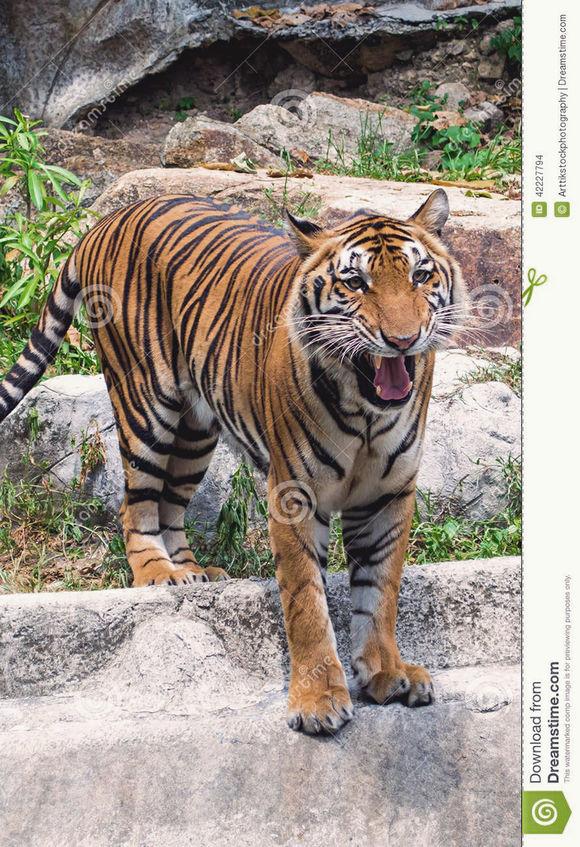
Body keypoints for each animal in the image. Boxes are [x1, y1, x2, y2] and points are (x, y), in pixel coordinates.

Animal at [0, 188, 468, 734]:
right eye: (355, 282)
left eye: (420, 275)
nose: (403, 340)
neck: (366, 408)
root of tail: (107, 219)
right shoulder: (293, 495)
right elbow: (306, 599)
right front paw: (317, 700)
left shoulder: (389, 494)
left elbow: (380, 592)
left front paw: (386, 672)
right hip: (144, 403)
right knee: (136, 504)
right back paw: (157, 573)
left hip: (195, 431)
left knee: (171, 504)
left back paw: (193, 572)